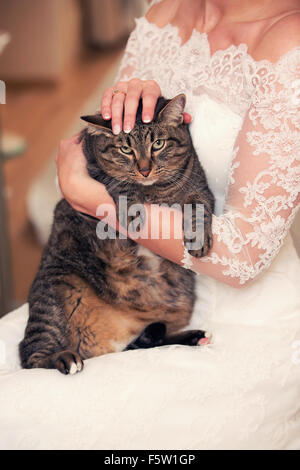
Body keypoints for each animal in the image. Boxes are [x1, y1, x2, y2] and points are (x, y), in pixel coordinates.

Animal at [19, 94, 213, 374]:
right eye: (125, 150)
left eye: (158, 144)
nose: (144, 169)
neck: (154, 193)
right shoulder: (93, 168)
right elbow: (119, 183)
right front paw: (132, 210)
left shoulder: (200, 187)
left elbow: (199, 207)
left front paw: (198, 237)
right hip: (55, 293)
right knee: (31, 356)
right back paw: (64, 359)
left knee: (150, 341)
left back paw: (194, 336)